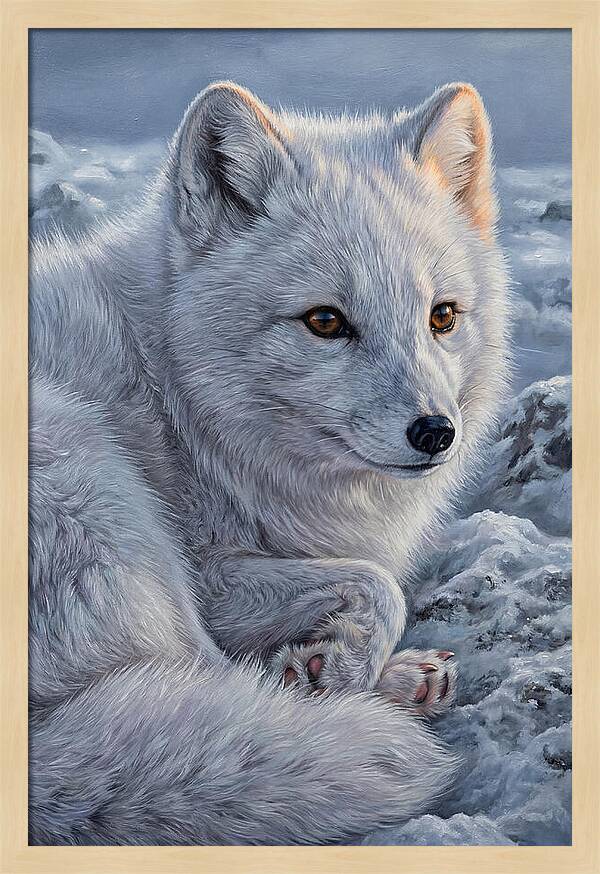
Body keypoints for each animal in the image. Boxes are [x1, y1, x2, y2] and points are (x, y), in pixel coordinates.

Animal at [28, 80, 511, 845]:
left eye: (442, 316)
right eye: (325, 322)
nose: (436, 433)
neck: (174, 393)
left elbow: (369, 584)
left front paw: (331, 663)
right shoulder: (208, 570)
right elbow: (381, 585)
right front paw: (338, 670)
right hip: (96, 486)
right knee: (204, 677)